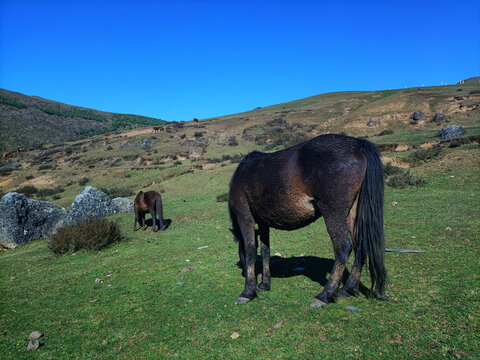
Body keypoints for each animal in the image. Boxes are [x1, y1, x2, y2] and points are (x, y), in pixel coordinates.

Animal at [229, 134, 386, 306]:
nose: (243, 272)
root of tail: (358, 144)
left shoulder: (245, 217)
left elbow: (250, 250)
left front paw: (248, 291)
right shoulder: (263, 223)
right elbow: (265, 250)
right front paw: (264, 284)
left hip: (334, 212)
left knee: (343, 248)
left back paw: (325, 294)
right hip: (352, 213)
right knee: (359, 247)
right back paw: (347, 289)